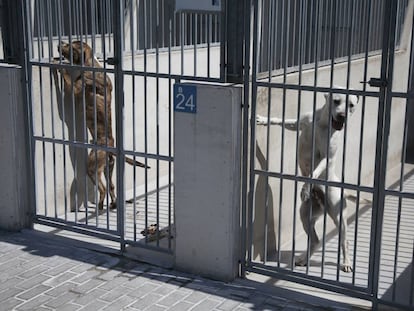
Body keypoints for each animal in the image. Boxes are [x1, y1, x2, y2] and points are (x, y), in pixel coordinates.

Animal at [54, 40, 149, 212]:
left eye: (70, 46)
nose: (59, 43)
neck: (90, 64)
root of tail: (111, 147)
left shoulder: (74, 89)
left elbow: (66, 76)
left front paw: (59, 65)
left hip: (92, 168)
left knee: (103, 189)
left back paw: (100, 205)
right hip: (108, 169)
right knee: (111, 186)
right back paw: (112, 204)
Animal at [256, 91, 360, 272]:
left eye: (351, 105)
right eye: (336, 101)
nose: (342, 116)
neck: (323, 123)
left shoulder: (327, 156)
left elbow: (314, 171)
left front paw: (305, 186)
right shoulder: (299, 123)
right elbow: (282, 121)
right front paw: (264, 119)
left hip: (339, 217)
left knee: (344, 241)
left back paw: (346, 262)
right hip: (306, 215)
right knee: (316, 241)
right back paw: (304, 259)